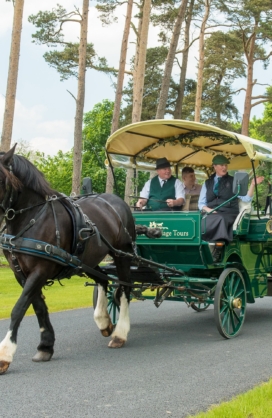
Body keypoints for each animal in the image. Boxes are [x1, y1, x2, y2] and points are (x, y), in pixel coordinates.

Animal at [0, 145, 136, 374]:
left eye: (0, 178)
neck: (32, 217)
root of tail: (117, 200)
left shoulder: (40, 270)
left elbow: (19, 308)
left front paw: (5, 353)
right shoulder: (22, 274)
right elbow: (38, 306)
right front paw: (45, 346)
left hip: (122, 254)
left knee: (125, 288)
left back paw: (120, 333)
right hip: (87, 260)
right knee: (103, 280)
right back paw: (103, 320)